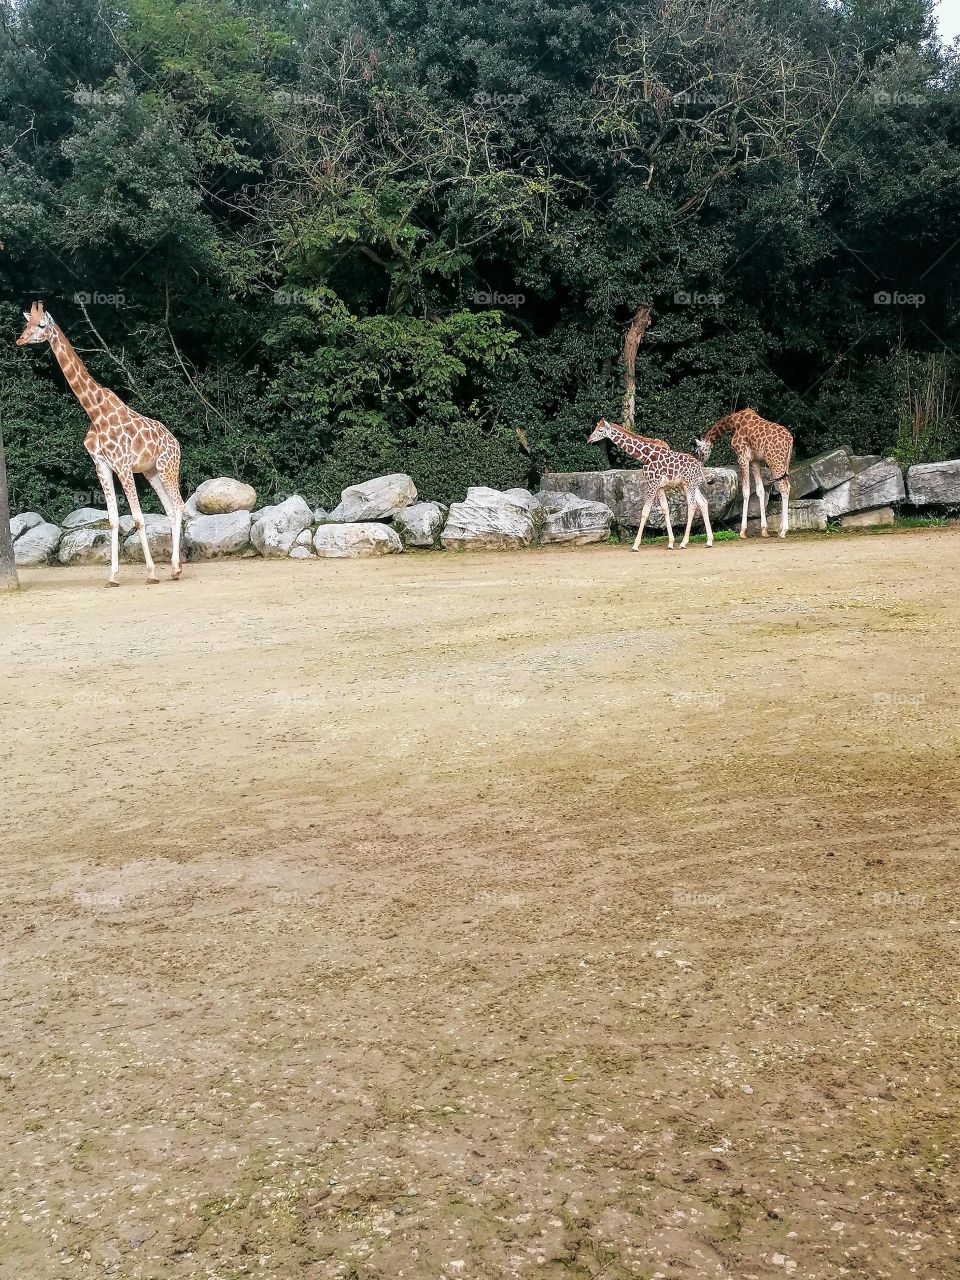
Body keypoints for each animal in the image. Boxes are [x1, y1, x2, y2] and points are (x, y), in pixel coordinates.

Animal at [16, 302, 185, 586]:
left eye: (41, 325)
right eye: (26, 324)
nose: (20, 340)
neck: (94, 412)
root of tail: (176, 443)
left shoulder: (123, 465)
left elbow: (138, 518)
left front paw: (151, 573)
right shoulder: (102, 465)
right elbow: (113, 520)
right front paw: (113, 576)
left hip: (167, 467)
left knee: (180, 505)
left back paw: (176, 567)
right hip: (151, 471)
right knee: (171, 509)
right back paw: (174, 568)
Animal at [588, 420, 713, 550]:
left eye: (600, 430)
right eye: (595, 428)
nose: (589, 439)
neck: (645, 456)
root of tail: (699, 465)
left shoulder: (652, 483)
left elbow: (645, 511)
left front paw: (635, 545)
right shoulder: (659, 486)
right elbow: (665, 509)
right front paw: (670, 542)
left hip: (689, 483)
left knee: (692, 505)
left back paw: (684, 543)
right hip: (687, 485)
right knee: (703, 502)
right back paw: (709, 541)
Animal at [693, 408, 794, 539]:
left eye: (699, 452)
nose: (700, 463)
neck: (732, 423)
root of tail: (790, 440)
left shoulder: (742, 457)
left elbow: (745, 491)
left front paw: (742, 531)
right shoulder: (755, 460)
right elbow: (760, 491)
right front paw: (764, 530)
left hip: (775, 461)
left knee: (784, 488)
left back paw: (783, 531)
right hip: (785, 463)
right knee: (787, 487)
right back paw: (780, 529)